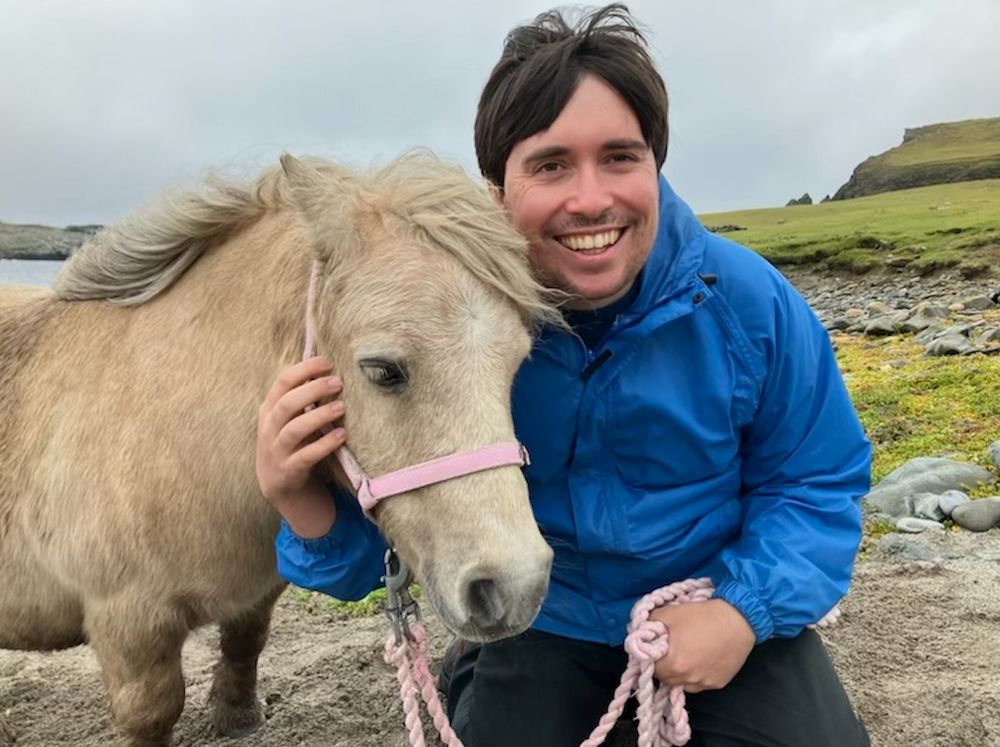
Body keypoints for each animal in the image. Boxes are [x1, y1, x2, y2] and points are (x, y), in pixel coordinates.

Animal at [0, 151, 557, 746]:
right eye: (384, 370)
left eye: (517, 365)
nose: (515, 585)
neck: (163, 427)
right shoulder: (130, 625)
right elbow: (152, 711)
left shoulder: (258, 591)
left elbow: (247, 641)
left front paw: (237, 716)